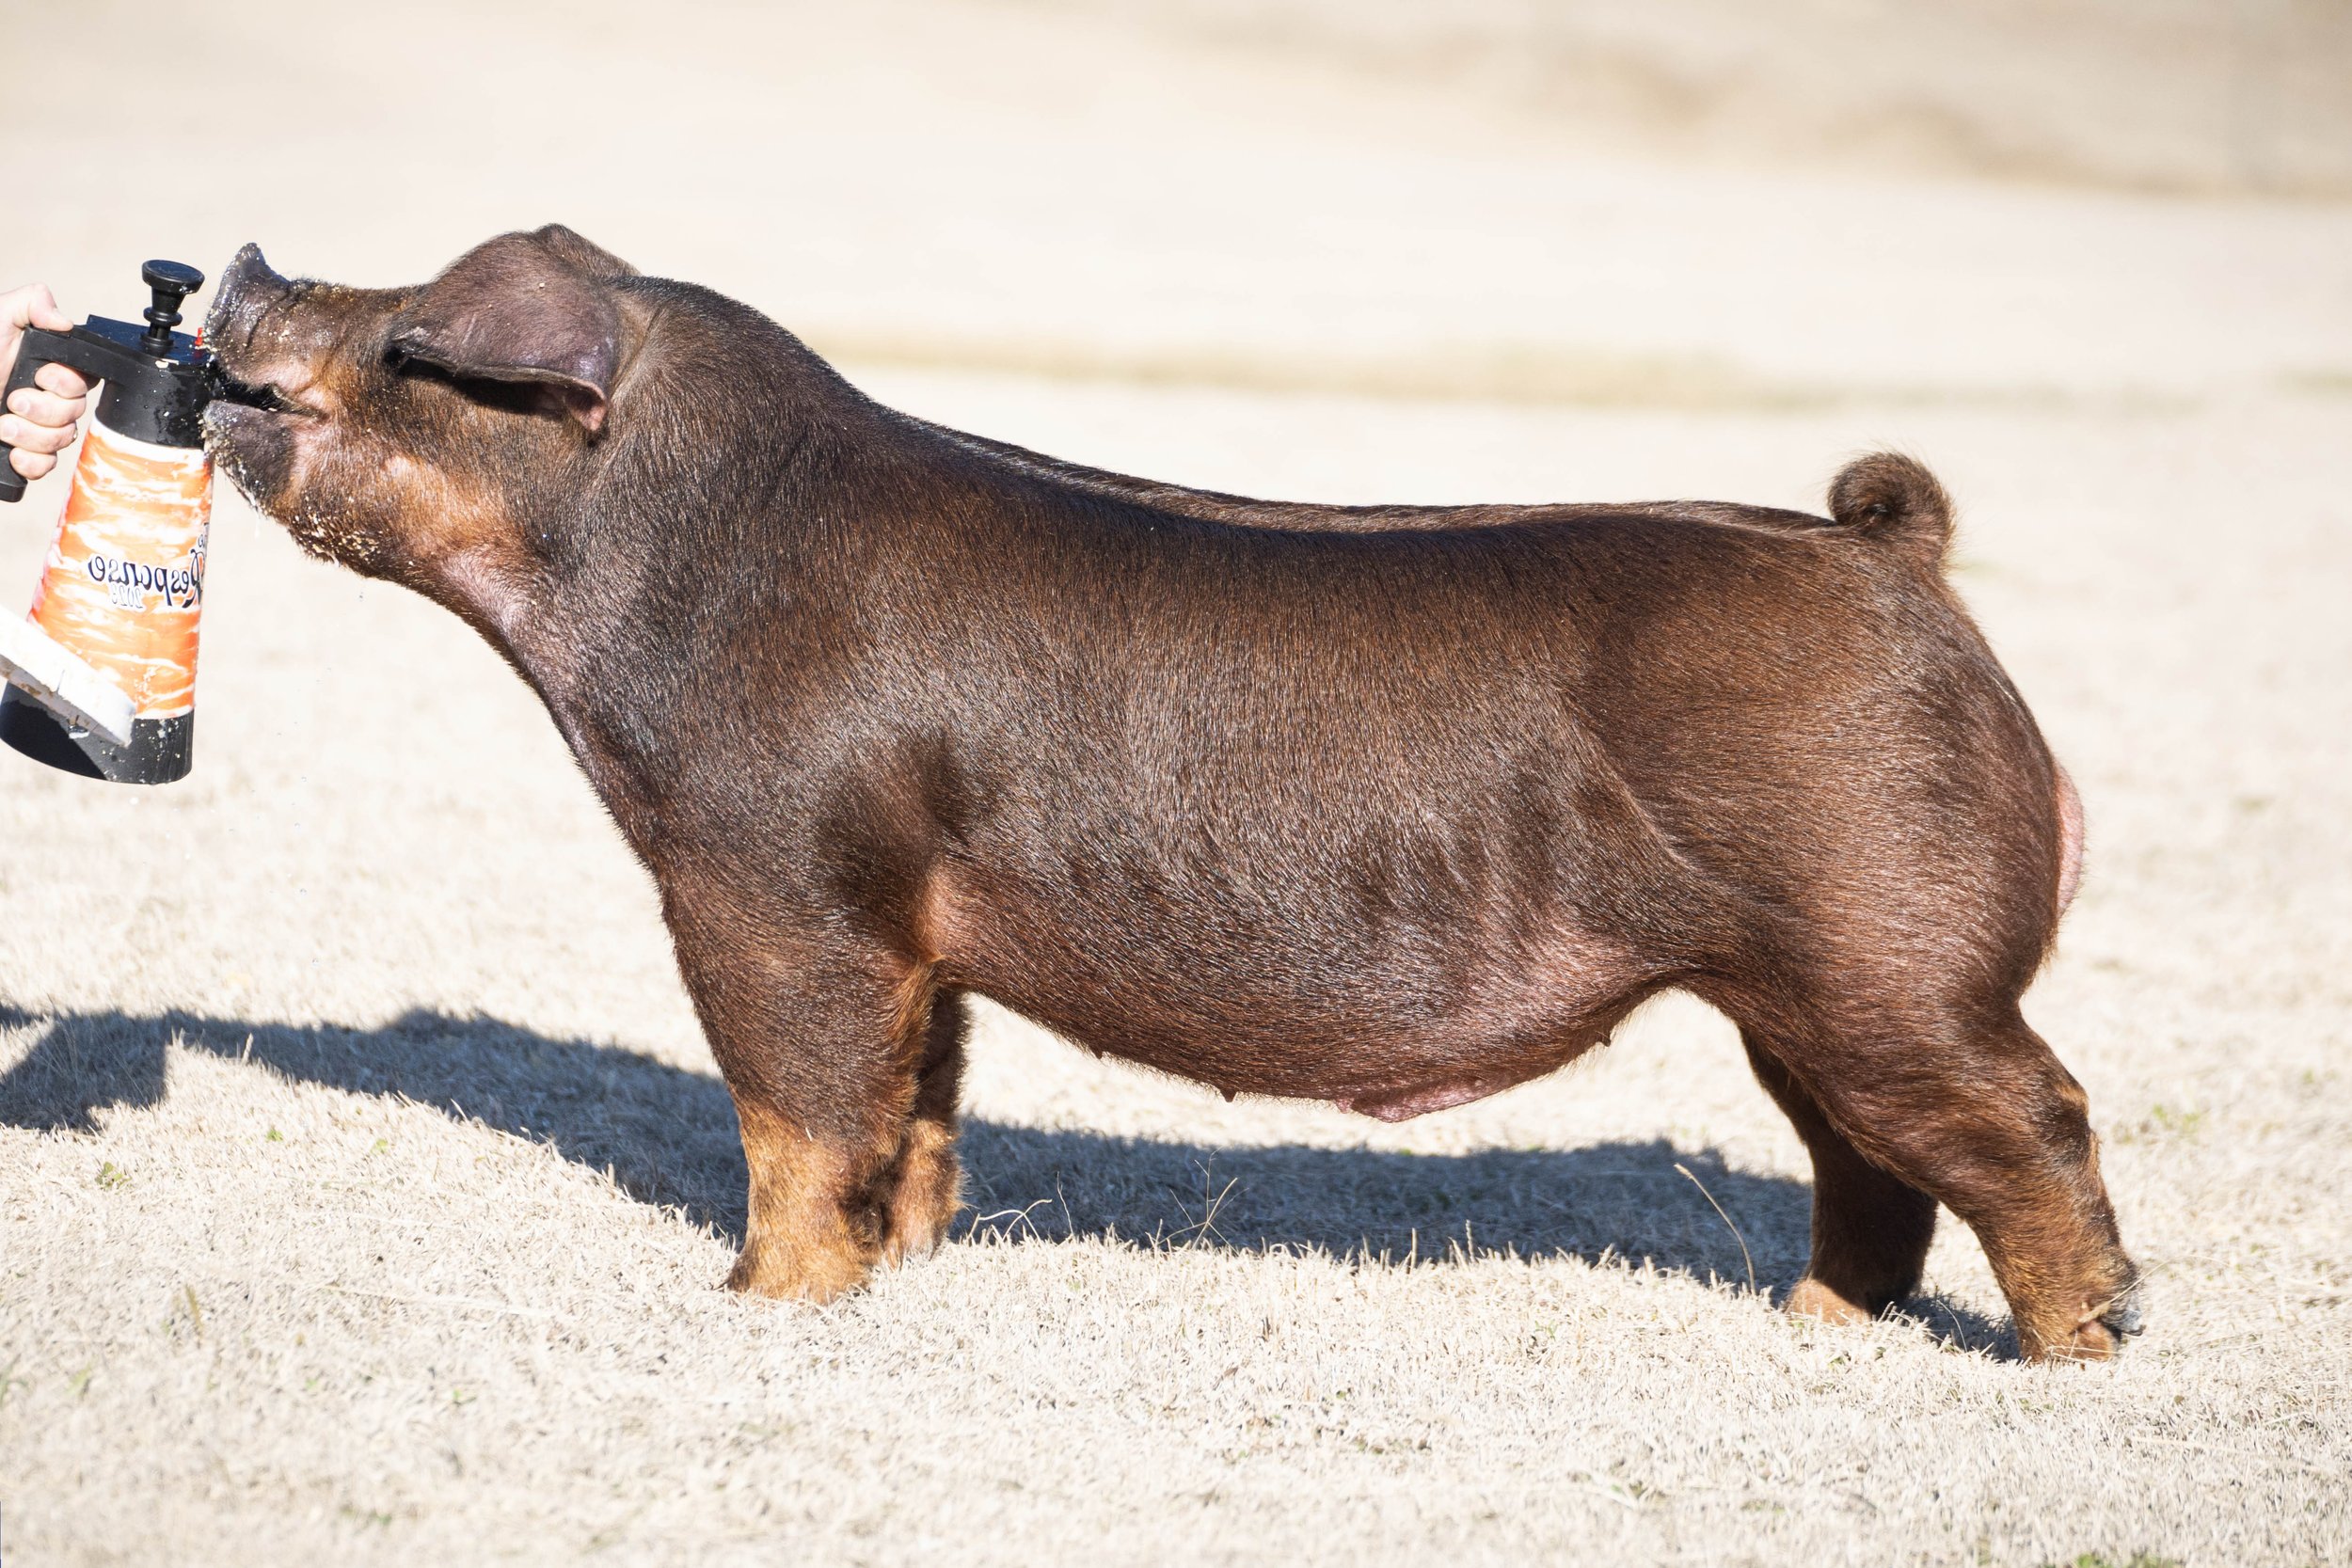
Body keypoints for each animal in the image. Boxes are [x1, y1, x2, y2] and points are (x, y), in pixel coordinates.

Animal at [201, 226, 2141, 1361]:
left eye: (409, 329)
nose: (241, 258)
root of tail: (1898, 556)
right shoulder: (911, 921)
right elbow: (921, 1107)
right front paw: (902, 1273)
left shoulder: (768, 875)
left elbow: (794, 1112)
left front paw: (759, 1304)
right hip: (1803, 988)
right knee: (1874, 1163)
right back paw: (1809, 1331)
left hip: (1888, 953)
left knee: (2033, 1118)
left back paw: (2078, 1350)